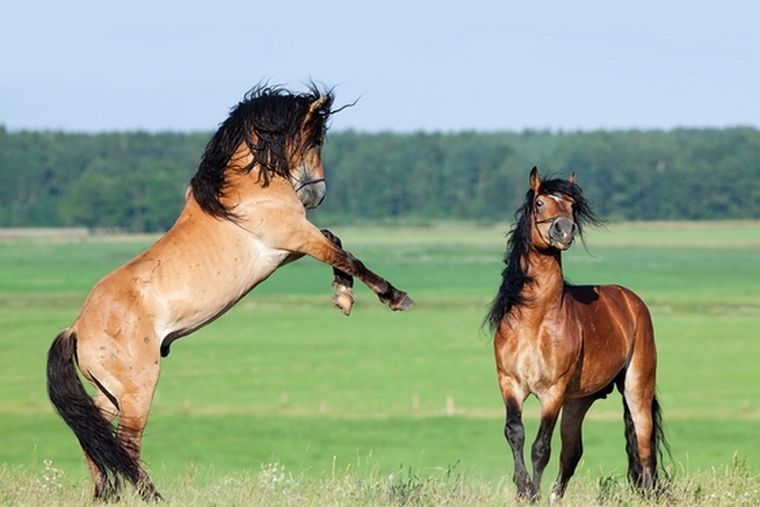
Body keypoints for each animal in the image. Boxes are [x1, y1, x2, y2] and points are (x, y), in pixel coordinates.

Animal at [46, 85, 416, 502]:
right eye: (316, 138)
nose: (318, 193)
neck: (243, 190)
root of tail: (77, 328)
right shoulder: (295, 238)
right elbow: (348, 256)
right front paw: (394, 297)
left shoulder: (289, 249)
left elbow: (337, 245)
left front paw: (343, 297)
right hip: (136, 389)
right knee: (125, 444)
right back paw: (153, 497)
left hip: (107, 393)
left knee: (94, 438)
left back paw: (105, 496)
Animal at [490, 168, 668, 504]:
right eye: (540, 203)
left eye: (572, 206)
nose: (564, 229)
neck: (535, 319)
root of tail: (631, 301)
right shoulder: (510, 383)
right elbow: (514, 433)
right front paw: (523, 489)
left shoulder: (553, 392)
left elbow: (541, 448)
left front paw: (532, 493)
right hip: (579, 401)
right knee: (572, 453)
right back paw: (554, 497)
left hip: (636, 387)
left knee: (644, 447)